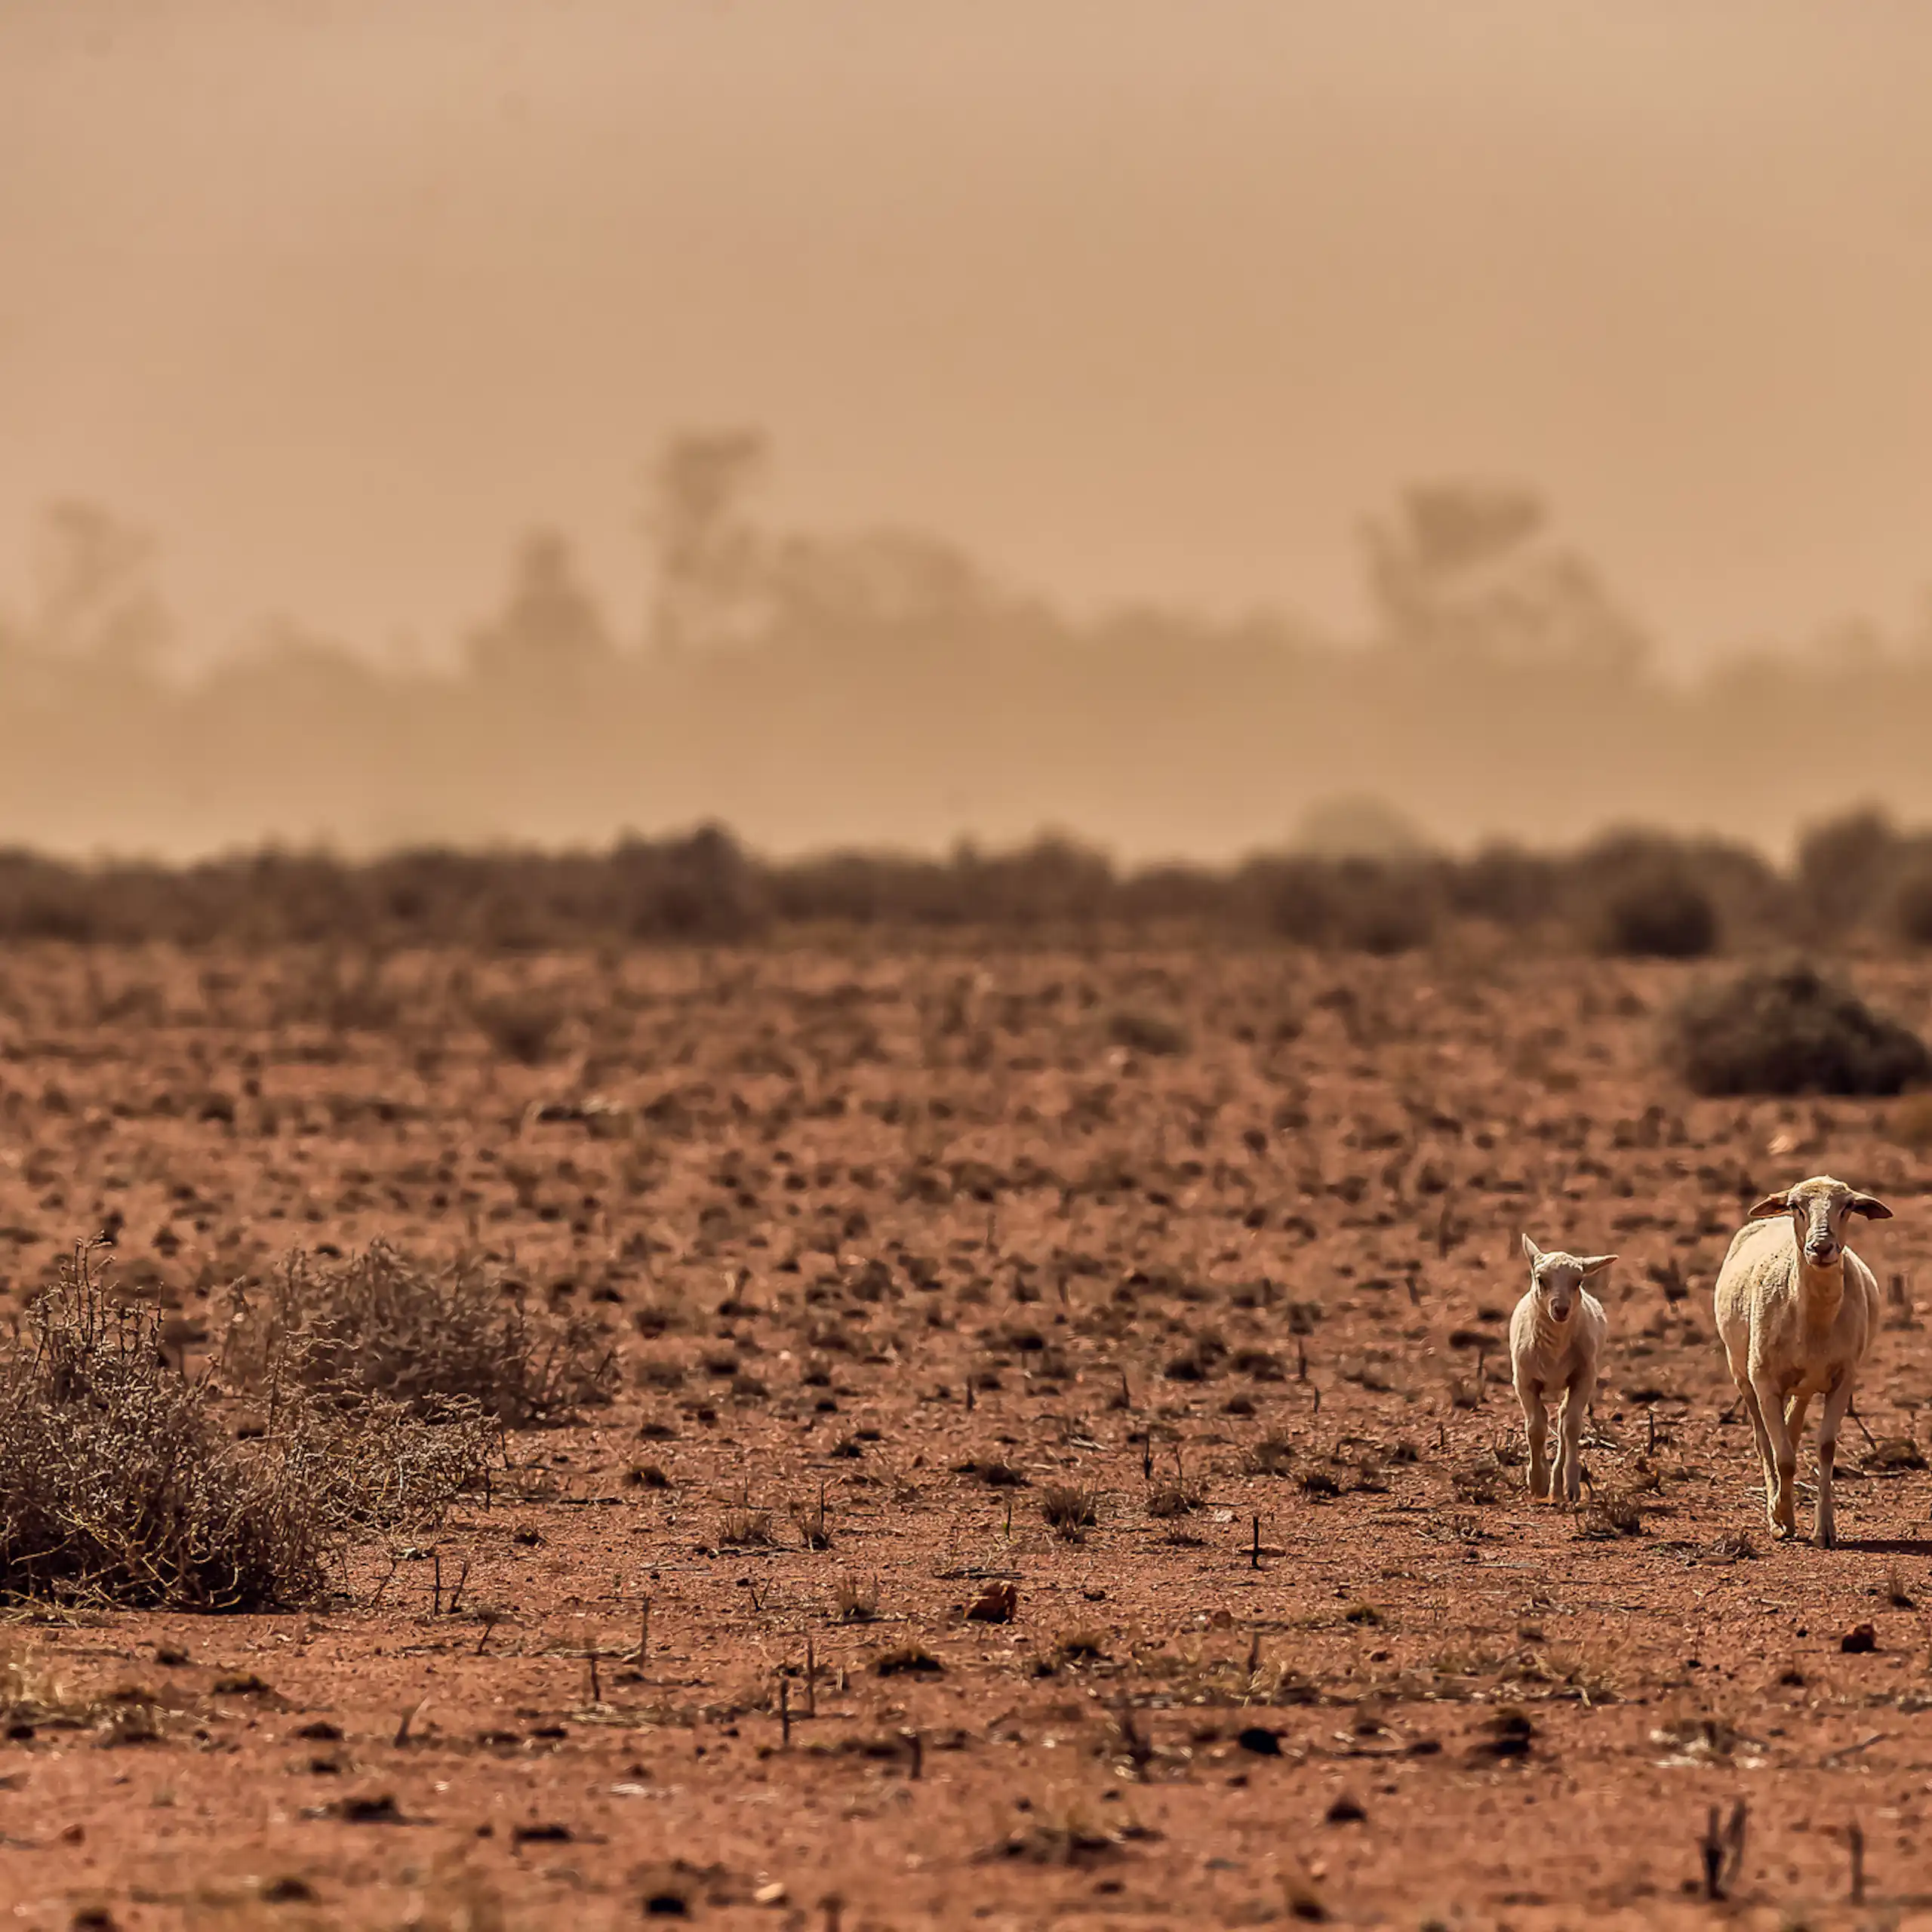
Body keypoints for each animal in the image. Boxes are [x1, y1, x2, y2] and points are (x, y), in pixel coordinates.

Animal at [1512, 1236, 1615, 1502]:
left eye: (1579, 1281)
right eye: (1541, 1279)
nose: (1561, 1309)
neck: (1555, 1350)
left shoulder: (1584, 1378)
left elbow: (1571, 1427)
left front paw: (1570, 1485)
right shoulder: (1525, 1381)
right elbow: (1535, 1427)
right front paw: (1537, 1481)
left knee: (1563, 1421)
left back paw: (1559, 1483)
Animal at [1714, 1175, 1890, 1548]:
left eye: (1848, 1206)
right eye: (1796, 1206)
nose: (1821, 1248)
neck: (1815, 1318)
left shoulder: (1844, 1378)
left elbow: (1824, 1448)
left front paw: (1824, 1529)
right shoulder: (1764, 1380)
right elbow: (1781, 1456)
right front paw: (1781, 1519)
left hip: (1805, 1383)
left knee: (1791, 1431)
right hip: (1741, 1373)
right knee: (1764, 1440)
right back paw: (1776, 1508)